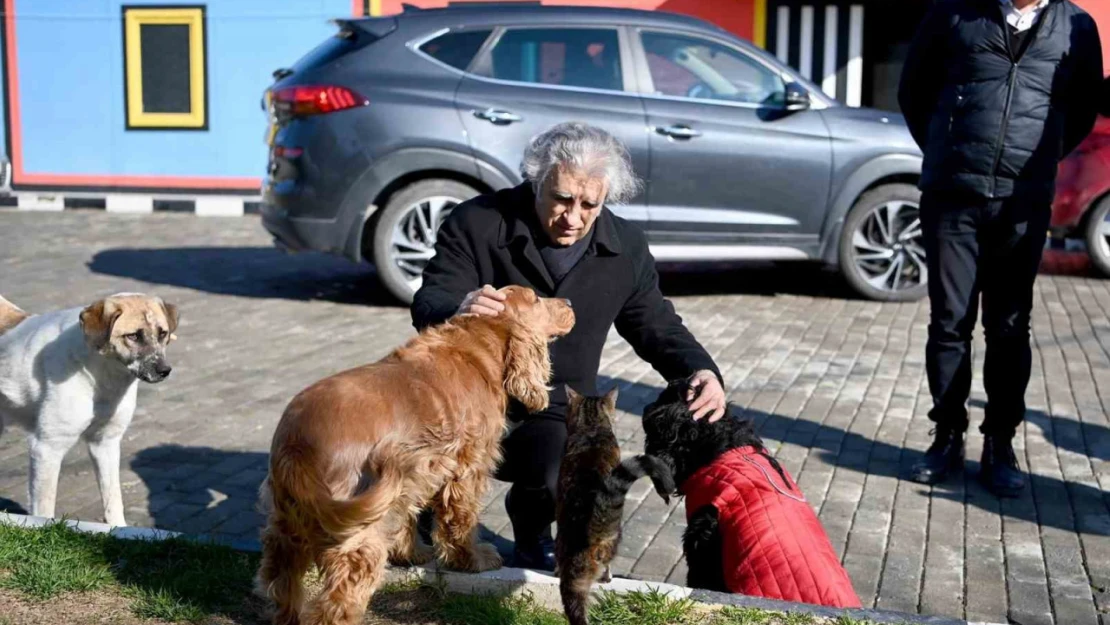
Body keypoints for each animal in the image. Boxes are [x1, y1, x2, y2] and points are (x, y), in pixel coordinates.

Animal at [0, 295, 176, 528]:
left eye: (162, 333)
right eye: (133, 336)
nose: (165, 371)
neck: (99, 374)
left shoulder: (105, 443)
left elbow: (113, 500)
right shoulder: (46, 447)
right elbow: (44, 509)